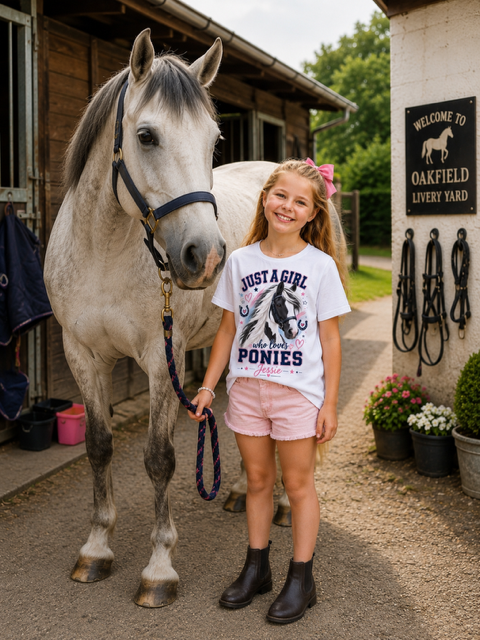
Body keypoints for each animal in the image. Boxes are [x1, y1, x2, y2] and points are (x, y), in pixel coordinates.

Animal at [44, 29, 347, 608]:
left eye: (213, 141)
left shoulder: (163, 359)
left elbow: (160, 458)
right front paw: (96, 549)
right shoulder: (81, 354)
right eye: (146, 136)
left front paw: (159, 569)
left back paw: (278, 504)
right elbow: (98, 447)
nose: (204, 257)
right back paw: (240, 491)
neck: (103, 251)